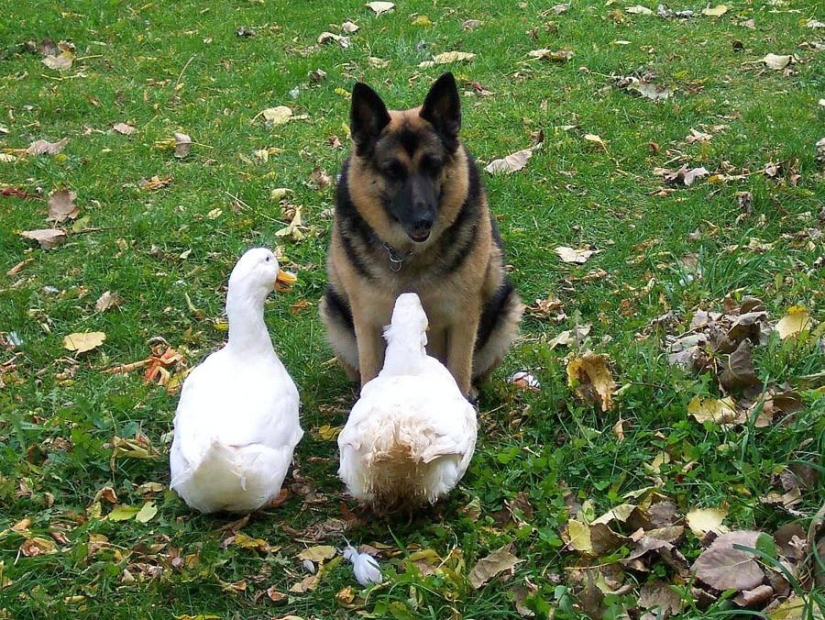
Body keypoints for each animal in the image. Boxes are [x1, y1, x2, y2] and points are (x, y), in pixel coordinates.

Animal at [320, 72, 520, 398]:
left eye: (433, 165)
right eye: (392, 170)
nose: (423, 220)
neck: (406, 256)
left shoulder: (463, 320)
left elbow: (459, 373)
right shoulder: (367, 321)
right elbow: (371, 374)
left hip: (507, 309)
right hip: (333, 311)